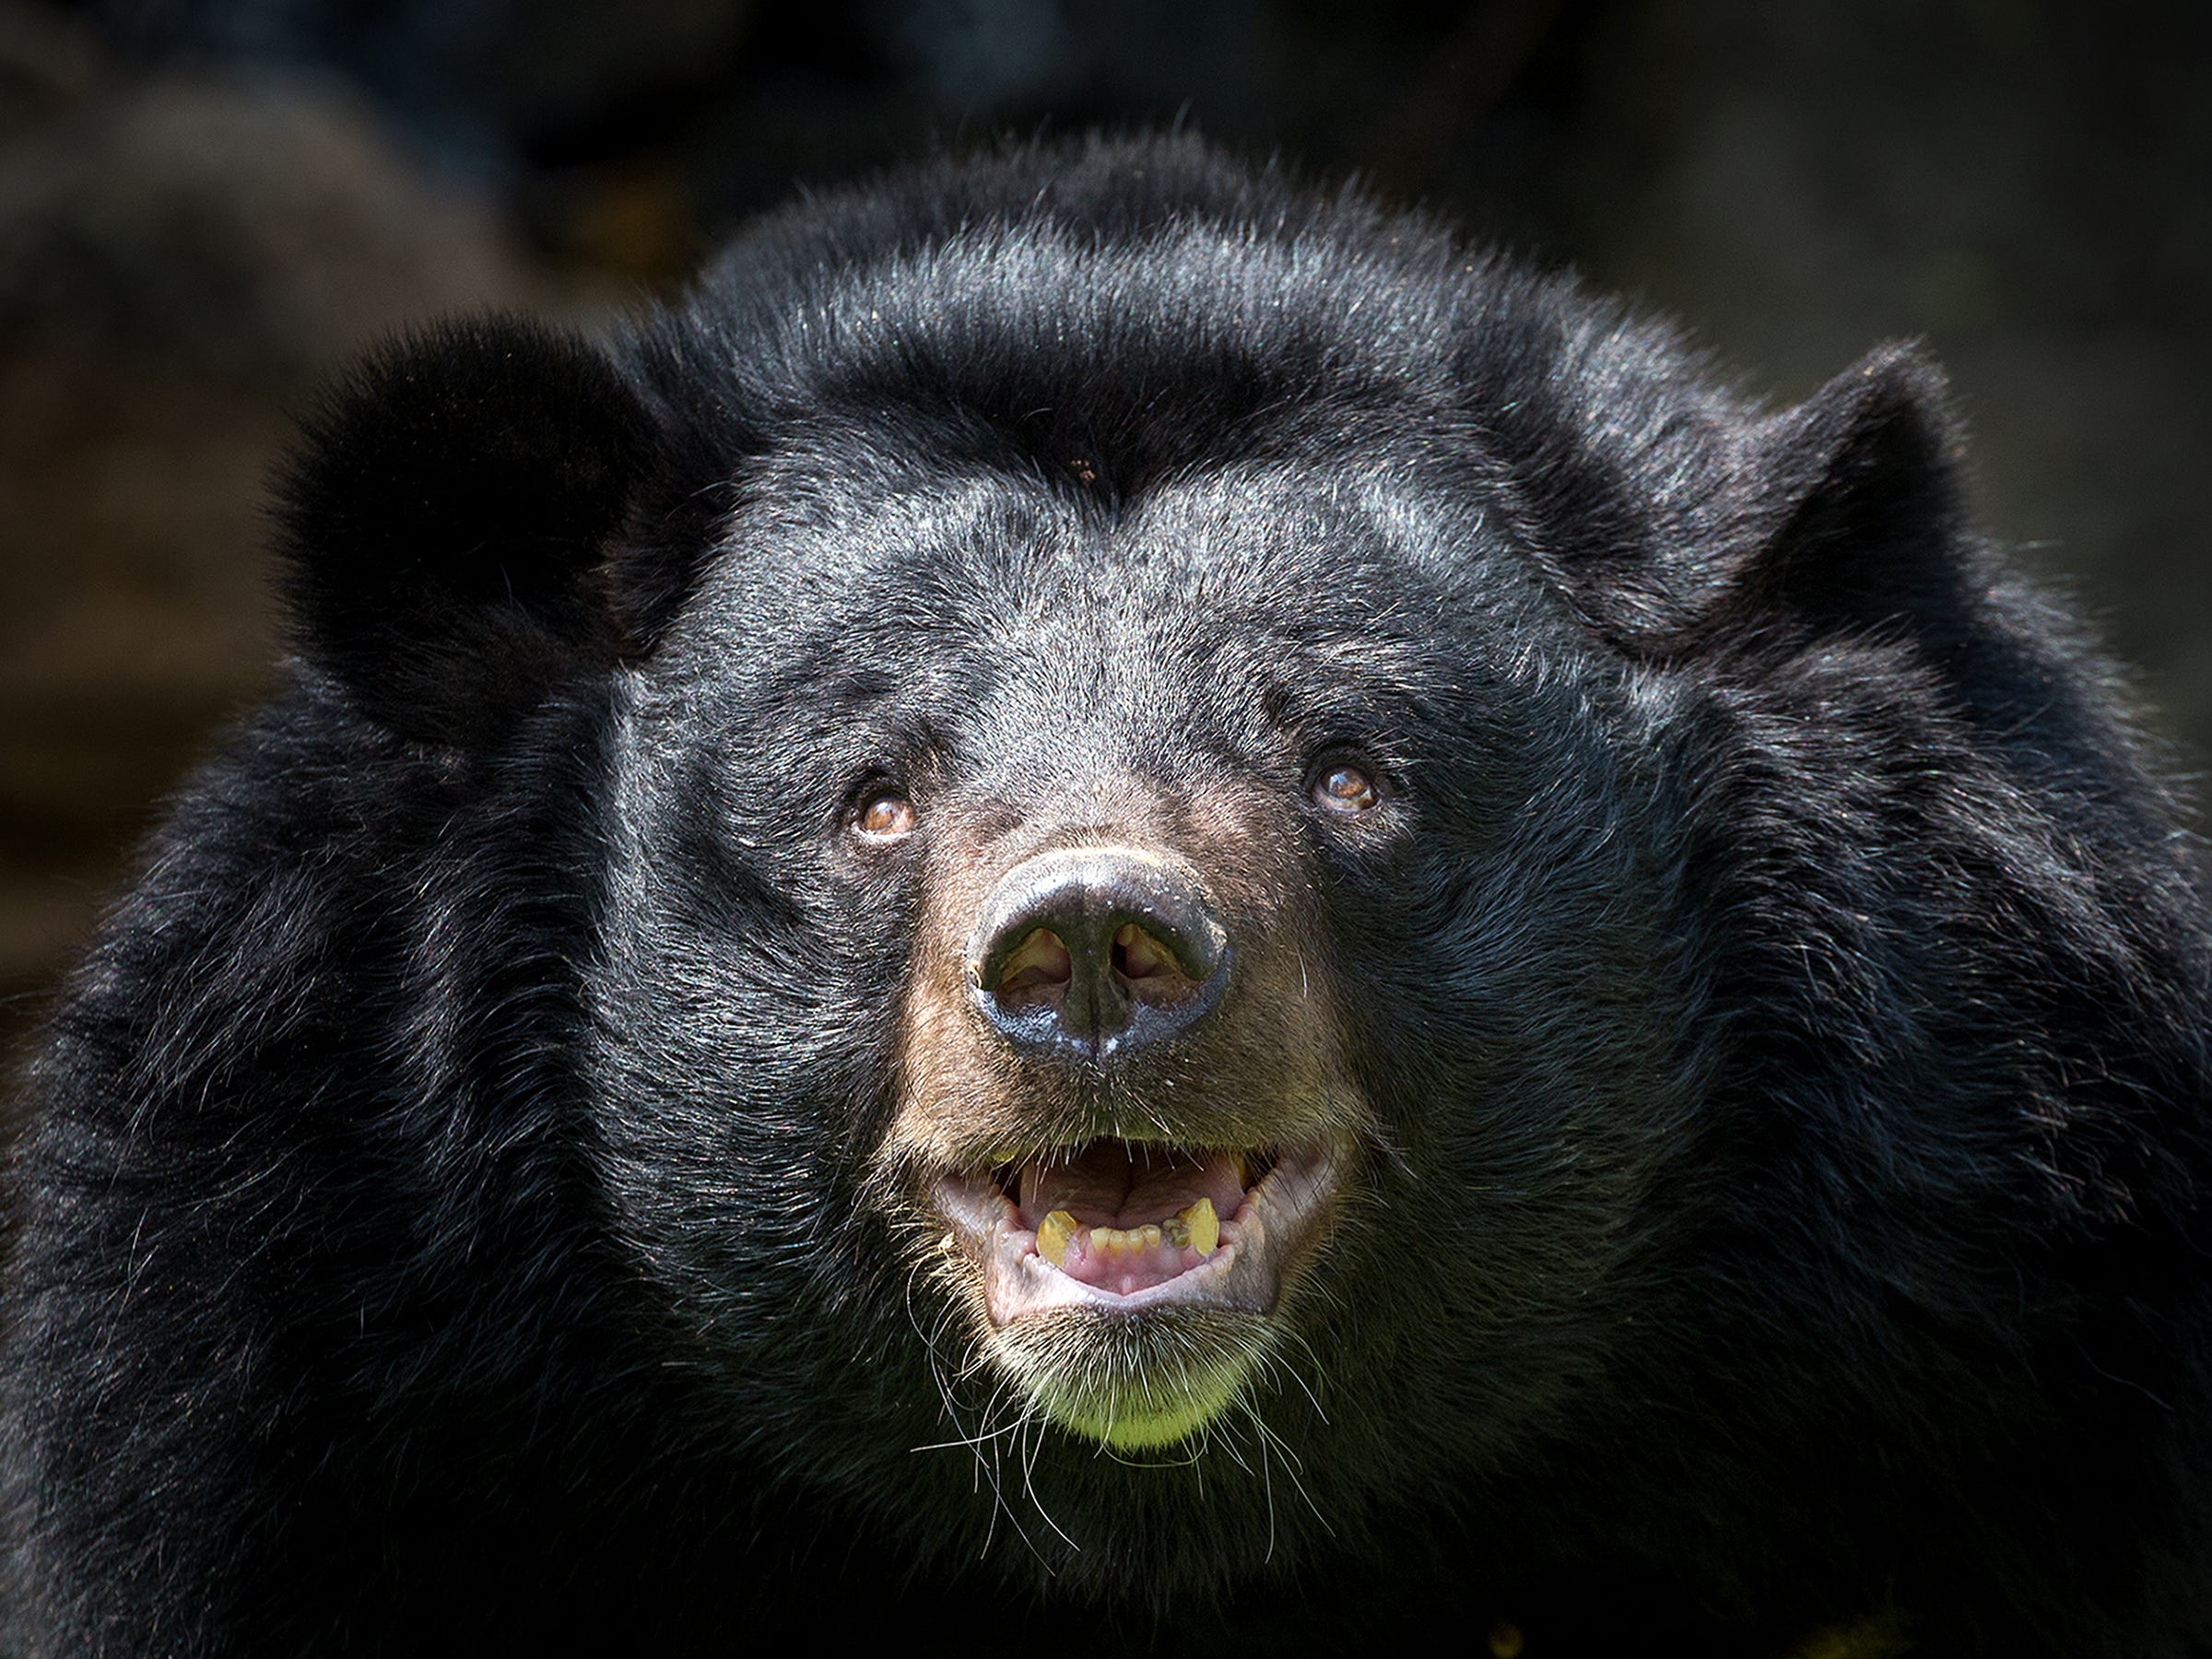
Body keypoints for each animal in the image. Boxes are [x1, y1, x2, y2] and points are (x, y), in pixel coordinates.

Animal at [4, 136, 2212, 1654]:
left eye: (1352, 772)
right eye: (873, 799)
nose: (1090, 958)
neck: (1159, 1524)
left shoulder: (2019, 1282)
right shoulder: (288, 1356)